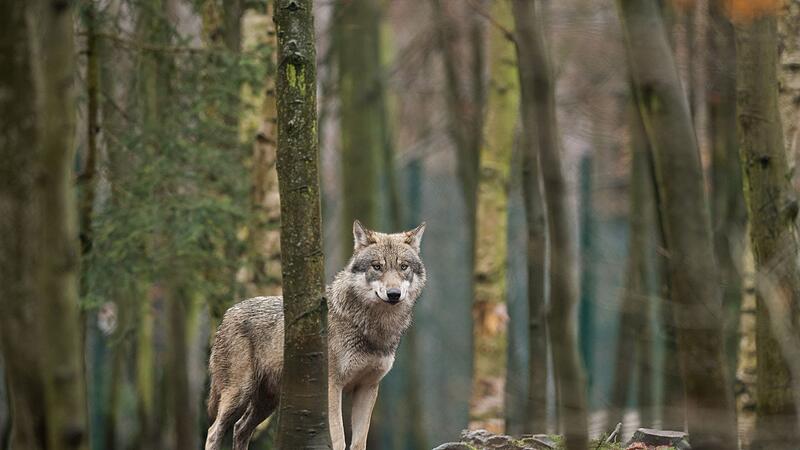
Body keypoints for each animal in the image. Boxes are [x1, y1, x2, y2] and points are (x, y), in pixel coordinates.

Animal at [205, 220, 426, 450]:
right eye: (377, 266)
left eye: (403, 267)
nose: (394, 294)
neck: (372, 327)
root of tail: (227, 313)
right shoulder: (332, 387)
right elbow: (339, 440)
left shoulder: (368, 387)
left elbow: (358, 443)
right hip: (240, 394)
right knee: (214, 431)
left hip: (267, 401)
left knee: (240, 428)